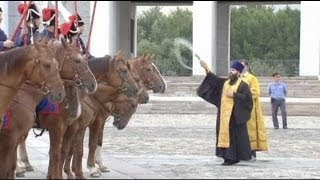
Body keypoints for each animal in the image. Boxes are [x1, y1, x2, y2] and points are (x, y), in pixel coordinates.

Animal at [0, 41, 96, 179]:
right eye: (77, 60)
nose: (93, 84)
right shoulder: (56, 128)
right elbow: (56, 154)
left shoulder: (68, 128)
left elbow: (61, 152)